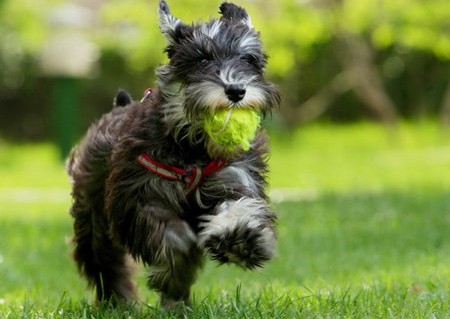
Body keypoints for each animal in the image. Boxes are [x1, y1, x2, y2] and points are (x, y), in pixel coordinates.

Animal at [65, 0, 280, 310]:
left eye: (248, 58)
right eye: (202, 59)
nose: (236, 90)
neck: (192, 148)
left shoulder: (234, 178)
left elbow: (238, 207)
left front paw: (240, 239)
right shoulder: (140, 197)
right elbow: (171, 236)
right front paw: (178, 266)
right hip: (93, 220)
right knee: (105, 262)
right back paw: (120, 302)